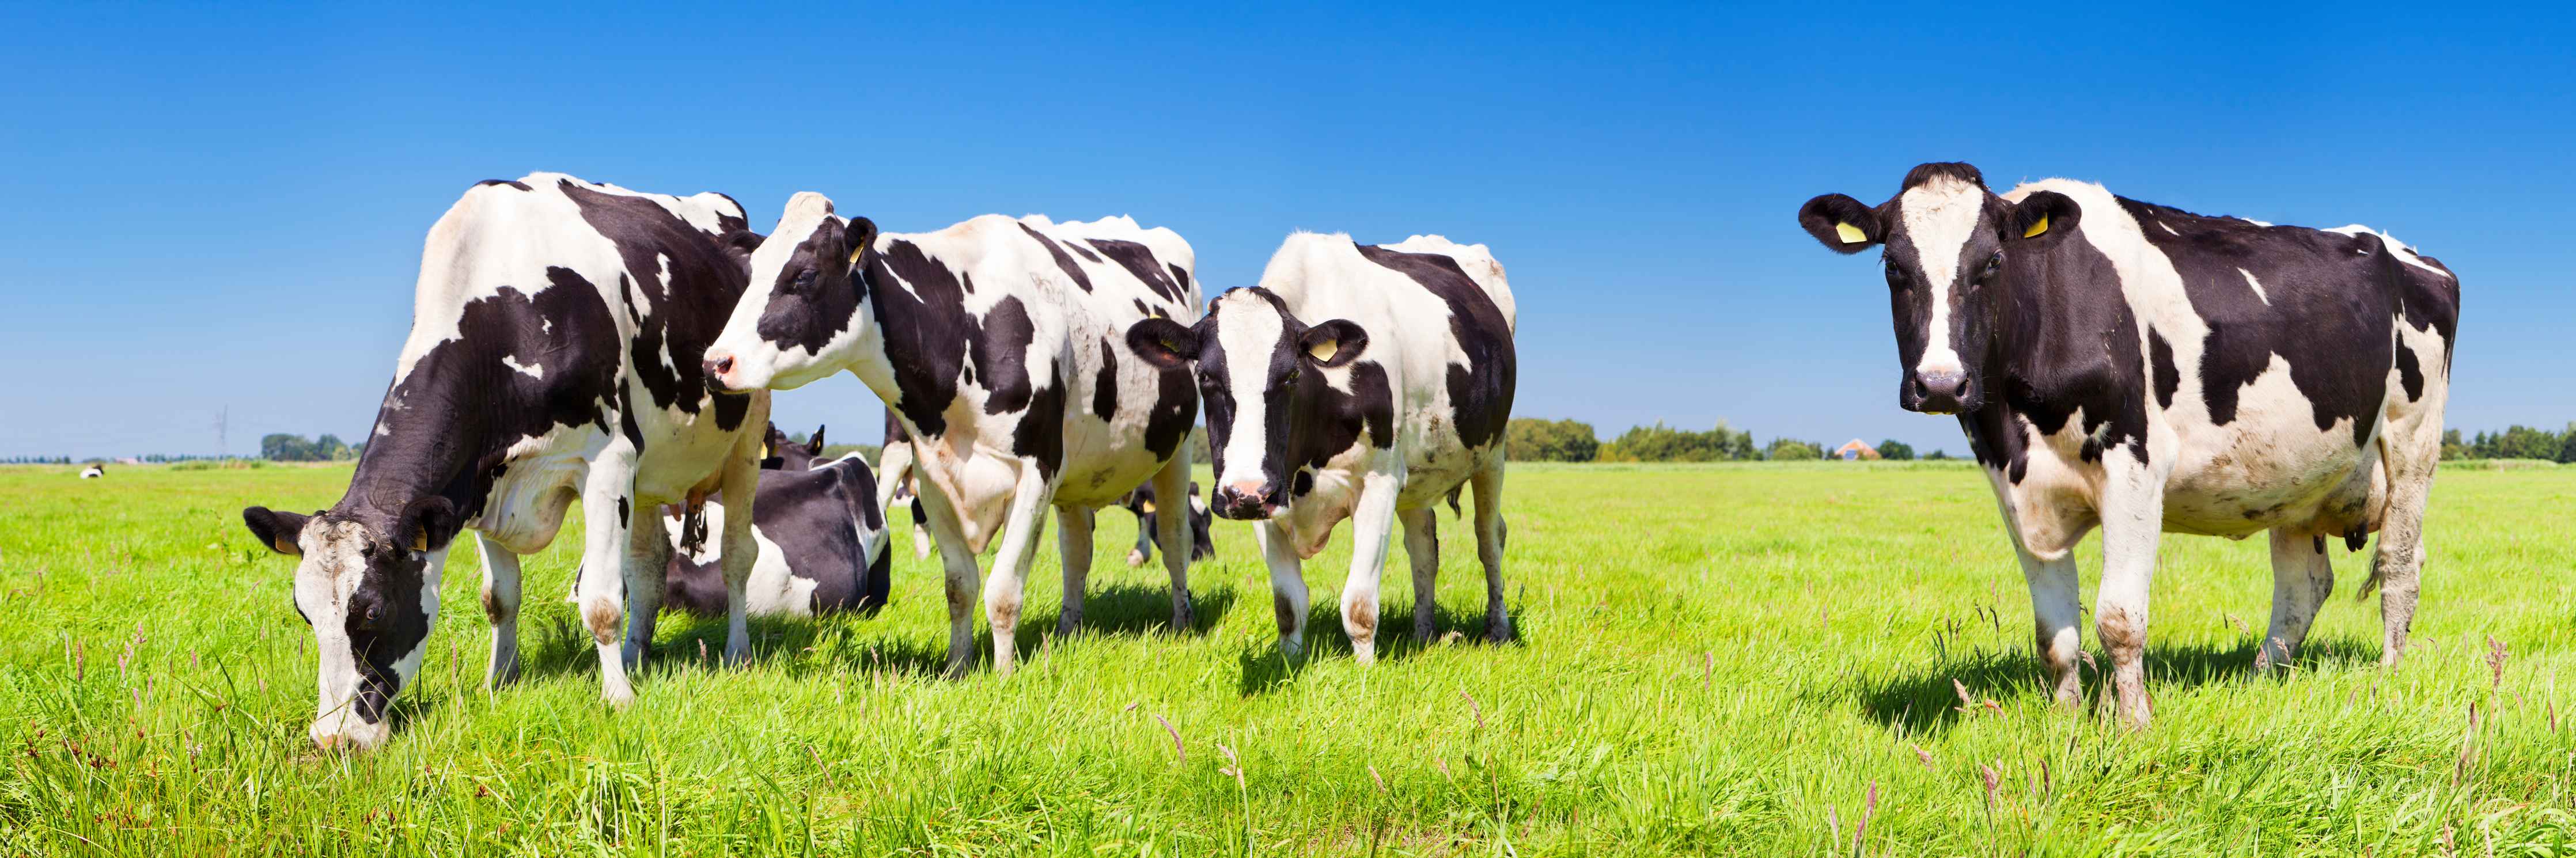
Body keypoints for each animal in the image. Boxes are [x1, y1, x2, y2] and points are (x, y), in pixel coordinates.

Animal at [238, 173, 772, 750]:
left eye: (374, 611)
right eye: (305, 613)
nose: (333, 739)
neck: (513, 307)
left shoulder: (609, 461)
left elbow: (602, 601)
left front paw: (618, 700)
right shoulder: (476, 487)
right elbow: (501, 598)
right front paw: (500, 682)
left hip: (748, 439)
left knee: (737, 555)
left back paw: (736, 653)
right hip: (650, 471)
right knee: (649, 569)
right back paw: (635, 658)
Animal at [702, 194, 1203, 676]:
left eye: (804, 275)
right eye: (752, 272)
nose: (715, 363)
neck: (963, 329)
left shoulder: (1037, 471)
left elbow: (1003, 591)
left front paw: (1002, 676)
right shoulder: (933, 478)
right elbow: (960, 586)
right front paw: (958, 668)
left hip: (1176, 452)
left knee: (1175, 538)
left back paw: (1182, 623)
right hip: (1079, 468)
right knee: (1077, 550)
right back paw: (1067, 631)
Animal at [1796, 162, 2459, 726]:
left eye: (1992, 261)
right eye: (1892, 266)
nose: (1939, 384)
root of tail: (2406, 251)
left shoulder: (2135, 463)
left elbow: (2118, 618)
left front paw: (2132, 724)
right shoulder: (2012, 486)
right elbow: (2054, 631)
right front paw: (2064, 722)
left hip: (2413, 441)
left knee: (2399, 565)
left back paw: (2386, 678)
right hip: (2297, 476)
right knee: (2304, 587)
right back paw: (2258, 679)